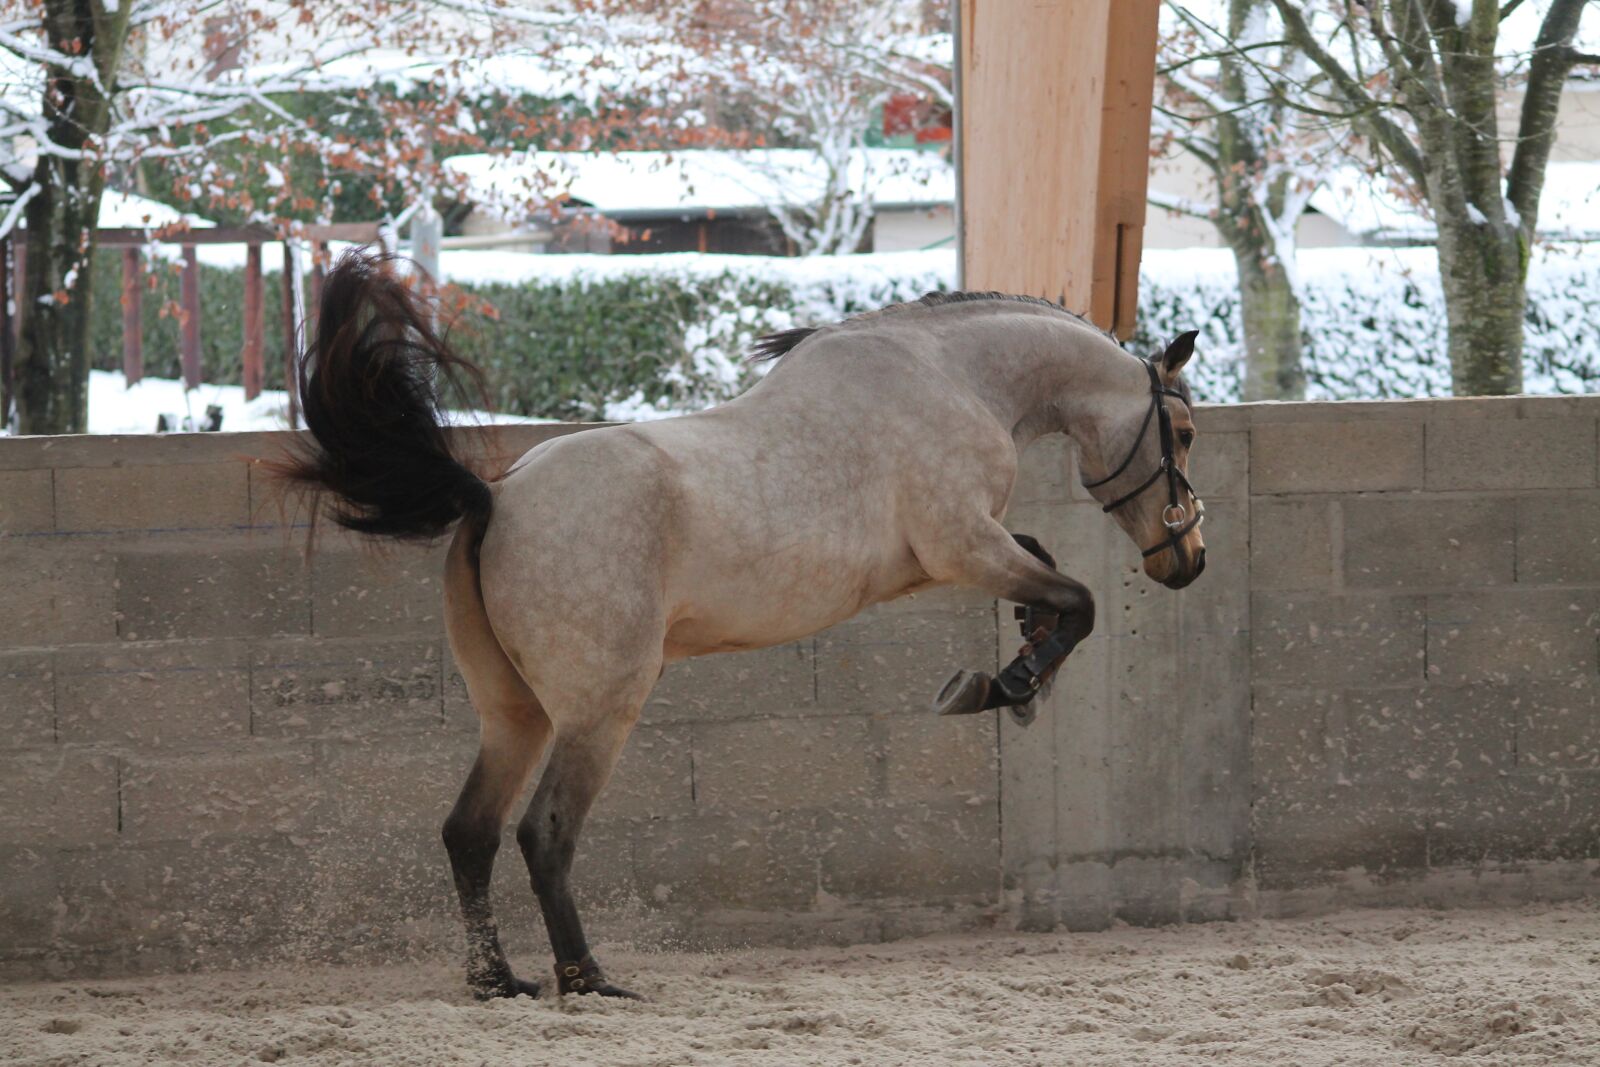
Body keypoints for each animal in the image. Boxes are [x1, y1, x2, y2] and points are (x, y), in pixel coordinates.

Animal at [278, 252, 1206, 1001]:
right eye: (1187, 431)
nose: (1188, 559)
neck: (951, 374)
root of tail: (492, 499)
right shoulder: (960, 545)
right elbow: (1079, 599)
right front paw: (1003, 683)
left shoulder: (975, 545)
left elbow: (1050, 572)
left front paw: (1019, 654)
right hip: (598, 710)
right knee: (546, 831)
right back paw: (589, 979)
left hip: (515, 713)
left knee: (468, 832)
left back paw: (497, 980)